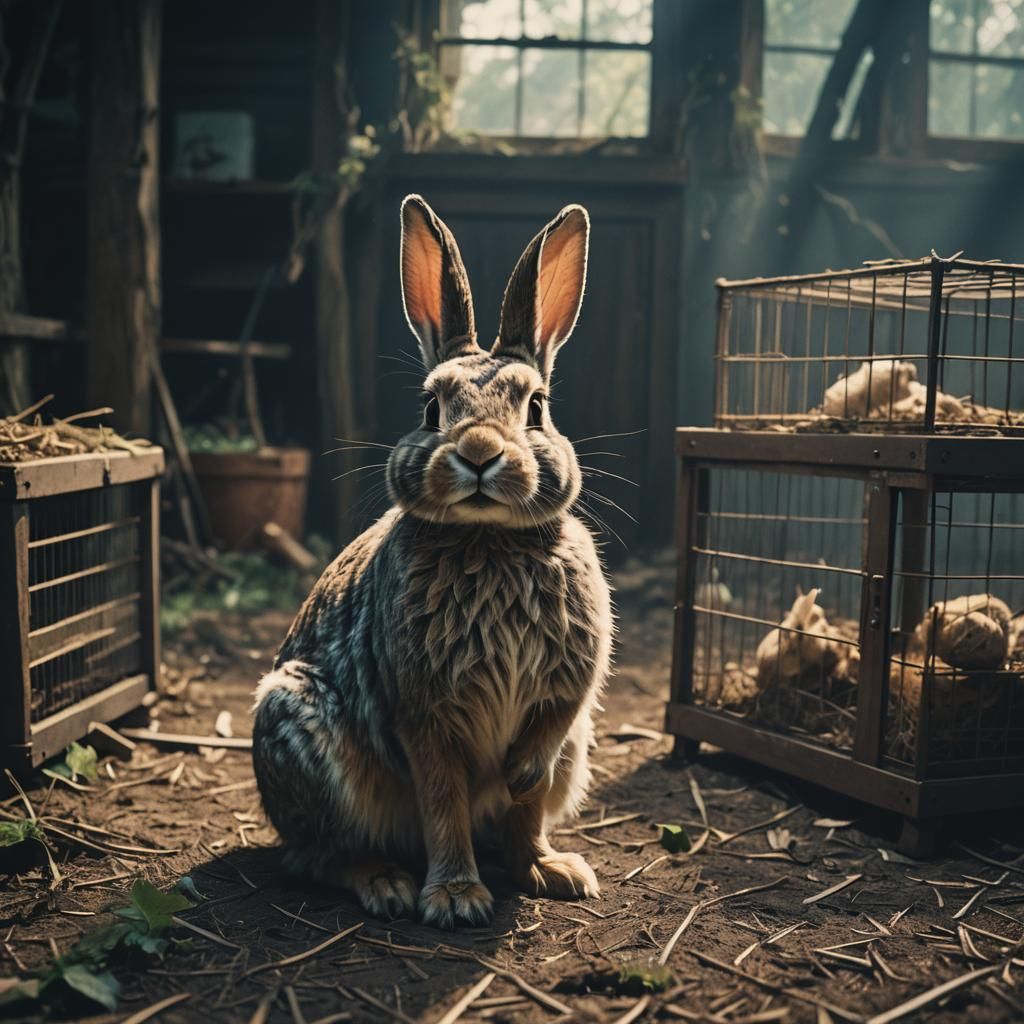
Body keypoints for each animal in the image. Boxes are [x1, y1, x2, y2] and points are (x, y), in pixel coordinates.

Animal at [251, 195, 612, 930]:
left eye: (537, 407)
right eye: (429, 406)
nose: (478, 453)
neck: (488, 538)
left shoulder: (563, 698)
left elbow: (531, 786)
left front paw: (544, 862)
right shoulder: (426, 713)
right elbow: (444, 799)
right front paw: (455, 899)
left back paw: (546, 866)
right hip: (298, 729)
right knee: (316, 855)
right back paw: (386, 883)